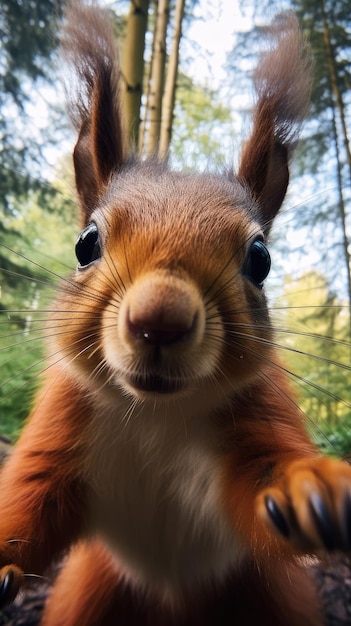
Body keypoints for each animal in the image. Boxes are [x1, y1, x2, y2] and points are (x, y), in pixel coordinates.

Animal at [0, 2, 351, 620]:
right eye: (86, 244)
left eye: (260, 259)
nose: (158, 320)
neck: (155, 414)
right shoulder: (62, 422)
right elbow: (32, 505)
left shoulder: (260, 410)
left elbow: (264, 480)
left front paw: (312, 487)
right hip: (90, 592)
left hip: (269, 596)